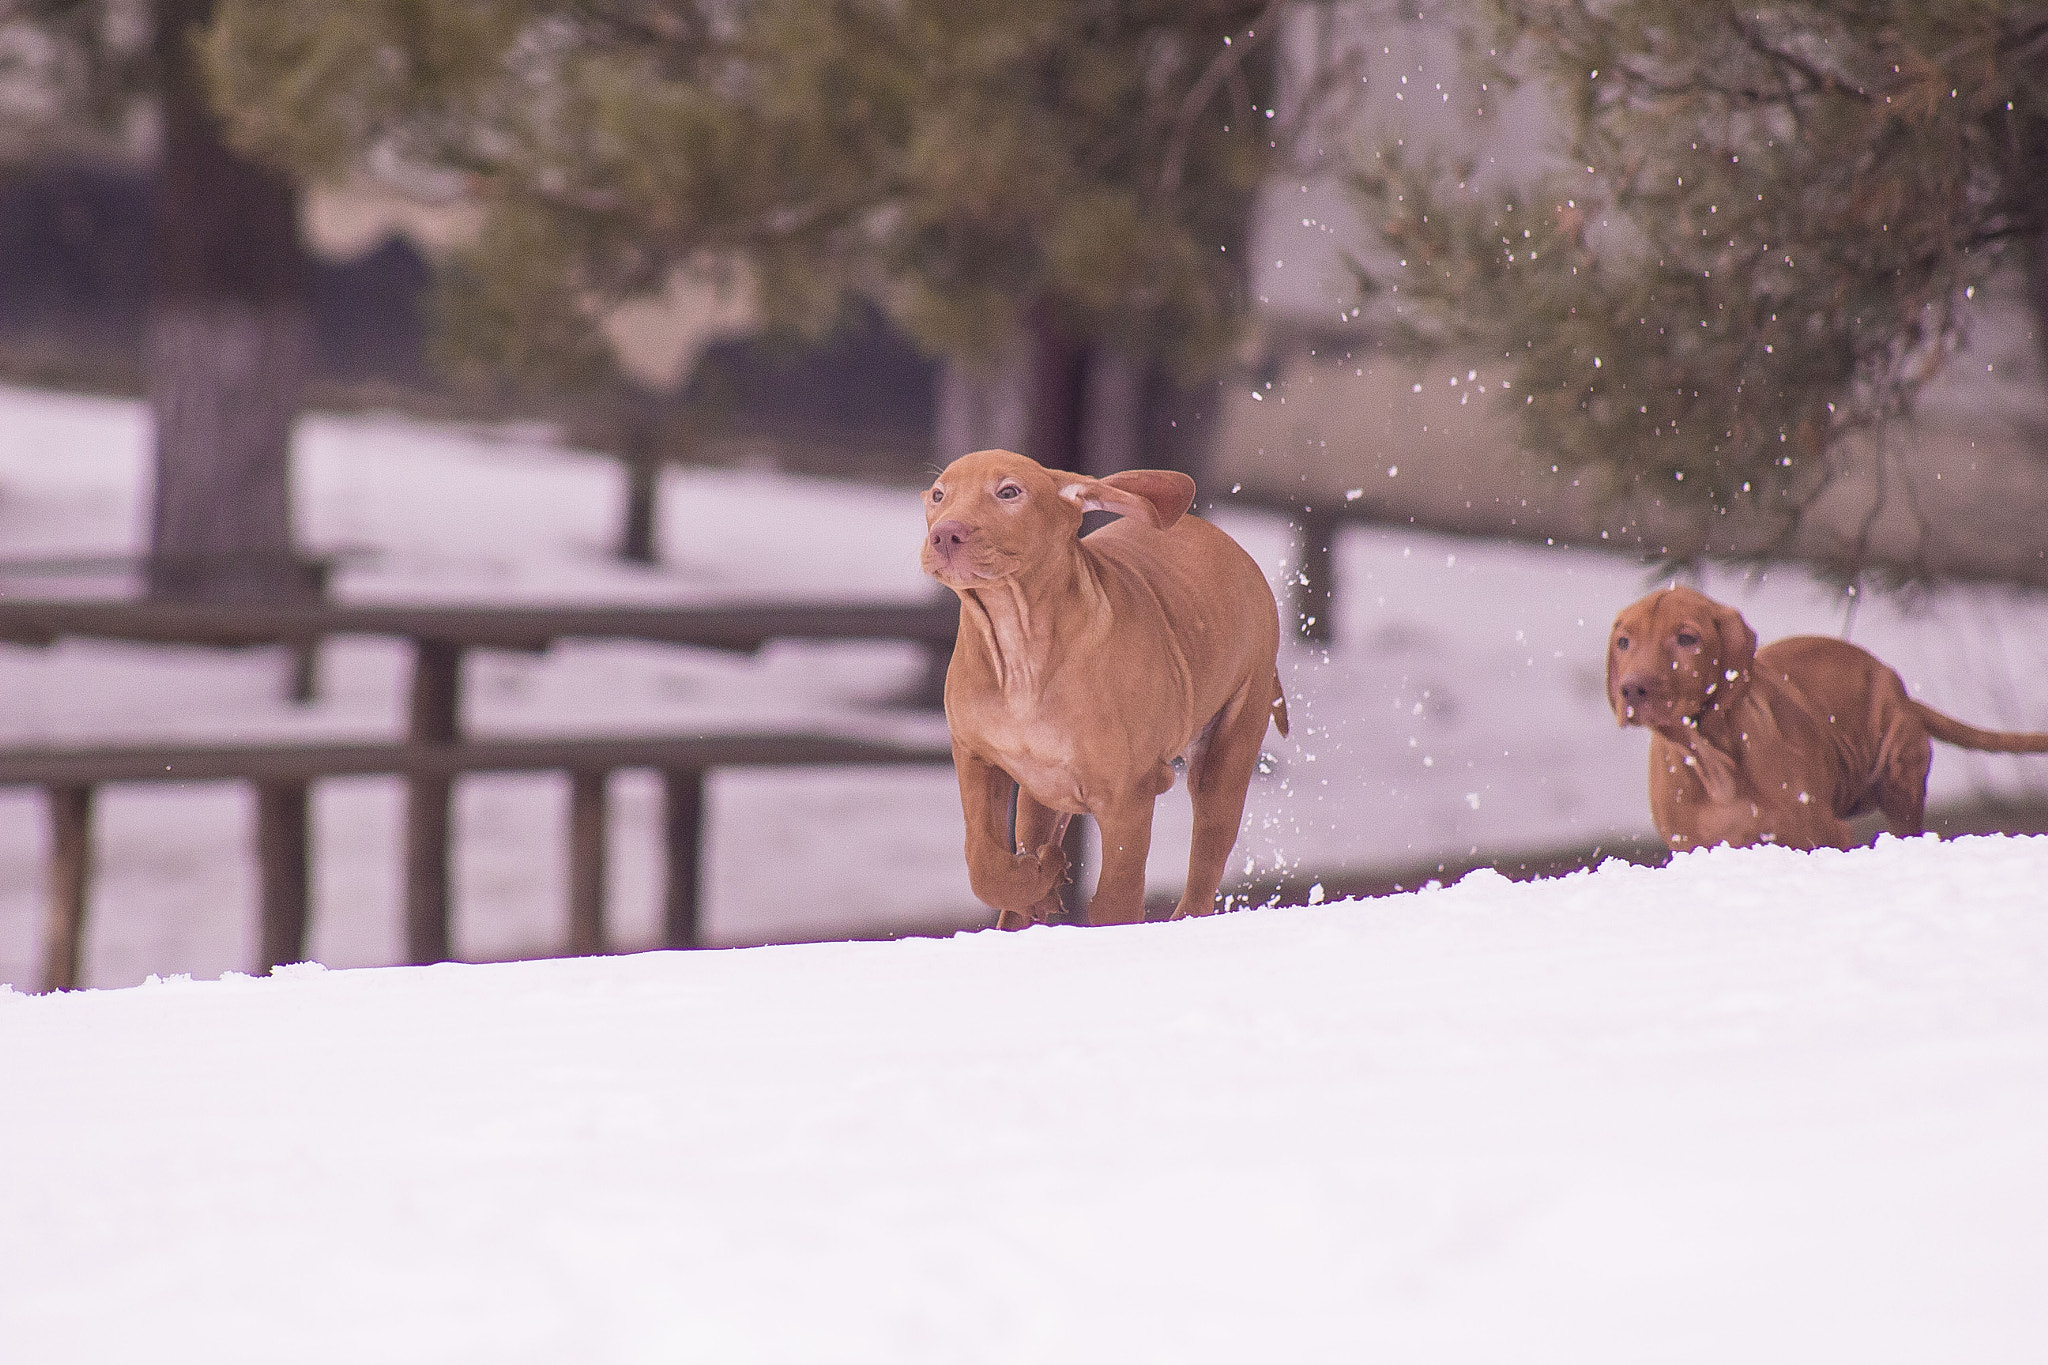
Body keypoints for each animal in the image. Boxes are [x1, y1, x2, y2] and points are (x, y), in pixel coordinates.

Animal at [925, 448, 1286, 929]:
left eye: (1009, 492)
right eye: (938, 495)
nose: (944, 534)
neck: (1019, 646)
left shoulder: (1128, 796)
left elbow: (1116, 900)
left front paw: (1052, 882)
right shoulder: (975, 756)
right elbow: (984, 864)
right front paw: (1037, 878)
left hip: (1227, 752)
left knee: (1205, 869)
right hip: (1044, 787)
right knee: (1034, 828)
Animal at [1605, 589, 2048, 855]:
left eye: (1687, 638)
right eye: (1624, 642)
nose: (1631, 690)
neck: (1711, 758)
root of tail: (1901, 692)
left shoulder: (1819, 834)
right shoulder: (1693, 846)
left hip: (1898, 774)